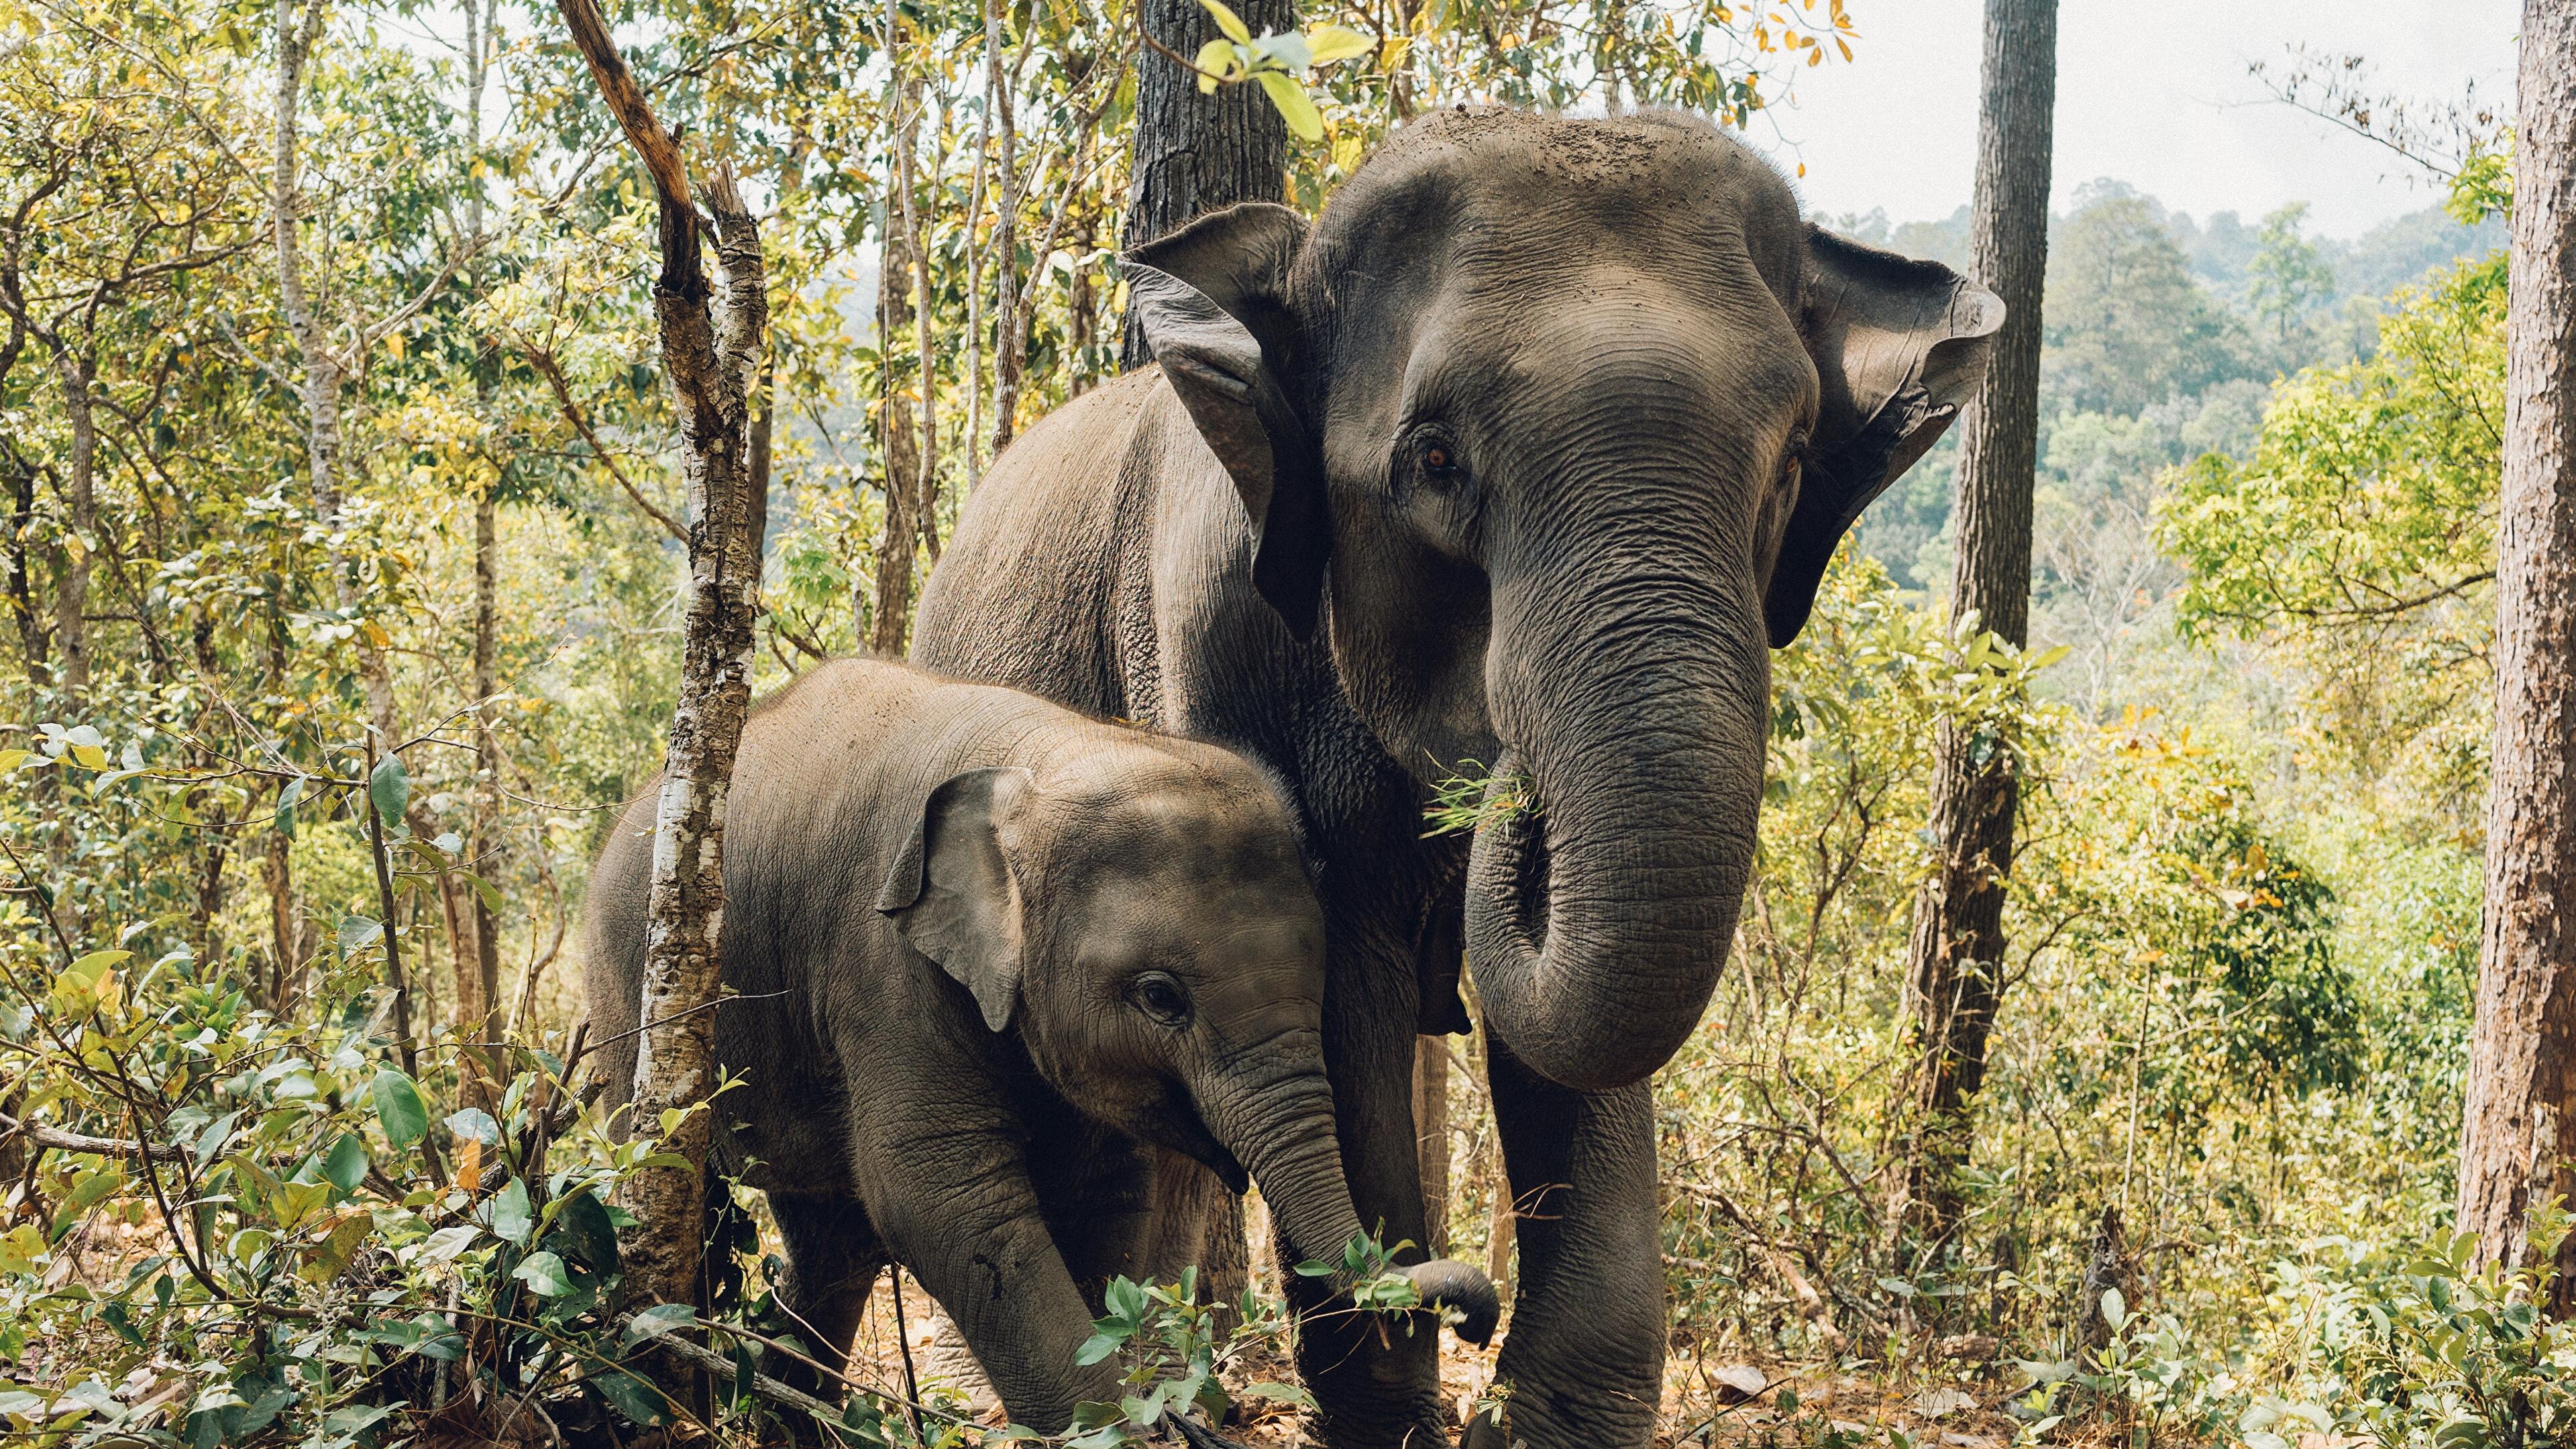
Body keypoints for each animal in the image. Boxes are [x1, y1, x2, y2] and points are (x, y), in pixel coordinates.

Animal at [582, 658, 1499, 1434]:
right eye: (1160, 997)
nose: (1477, 1318)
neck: (1045, 755)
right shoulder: (884, 962)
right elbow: (939, 1194)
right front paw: (1116, 1425)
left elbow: (1104, 1196)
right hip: (632, 1000)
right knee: (683, 1198)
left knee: (834, 1245)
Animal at [910, 107, 2000, 1447]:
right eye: (1433, 459)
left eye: (1794, 459)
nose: (1506, 784)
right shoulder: (1209, 641)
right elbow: (1343, 990)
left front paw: (1532, 1426)